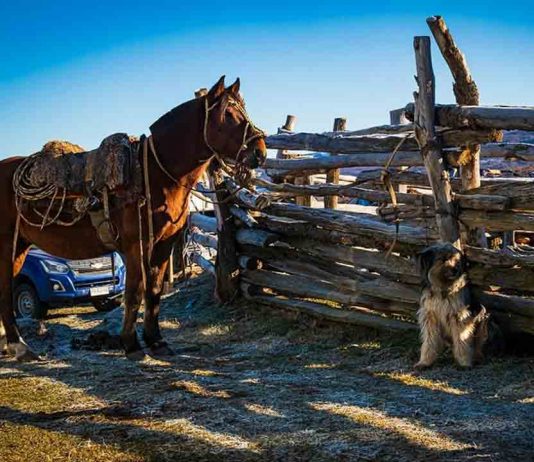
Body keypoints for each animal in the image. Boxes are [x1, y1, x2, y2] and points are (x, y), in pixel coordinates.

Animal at [0, 76, 268, 360]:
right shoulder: (135, 246)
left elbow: (154, 291)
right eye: (227, 113)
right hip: (7, 247)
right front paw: (131, 344)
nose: (260, 152)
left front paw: (156, 341)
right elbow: (135, 292)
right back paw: (19, 345)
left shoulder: (162, 246)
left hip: (19, 247)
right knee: (5, 292)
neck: (155, 175)